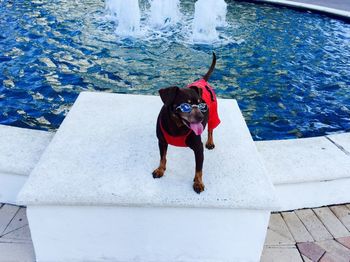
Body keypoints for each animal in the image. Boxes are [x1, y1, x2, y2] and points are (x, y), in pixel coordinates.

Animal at [152, 52, 220, 193]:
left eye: (200, 104)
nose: (201, 117)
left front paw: (198, 183)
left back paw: (210, 142)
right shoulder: (162, 141)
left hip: (214, 115)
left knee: (211, 129)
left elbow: (199, 168)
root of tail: (202, 80)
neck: (177, 126)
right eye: (185, 106)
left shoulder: (198, 149)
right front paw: (160, 170)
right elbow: (162, 157)